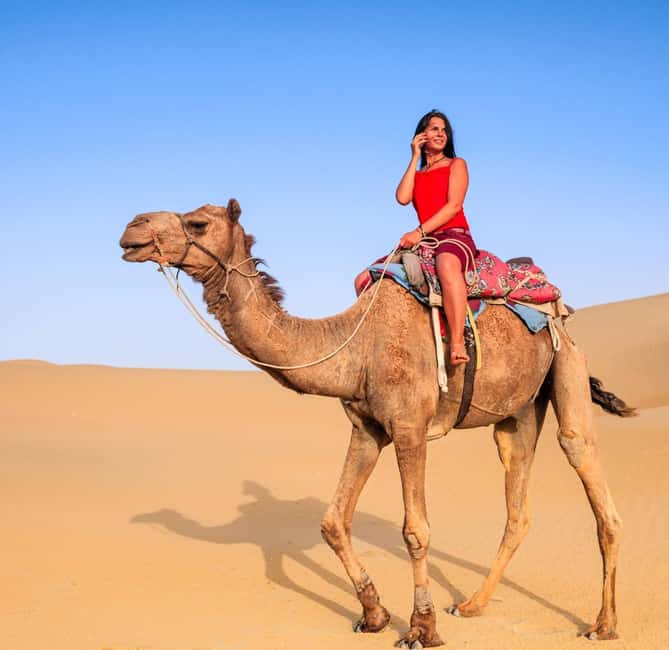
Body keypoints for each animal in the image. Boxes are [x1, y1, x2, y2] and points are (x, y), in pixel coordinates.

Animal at [120, 200, 634, 648]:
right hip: (517, 414)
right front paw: (374, 615)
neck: (355, 345)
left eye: (198, 223)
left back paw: (603, 624)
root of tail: (557, 306)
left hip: (566, 362)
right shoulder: (367, 429)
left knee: (583, 461)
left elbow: (416, 531)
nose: (132, 228)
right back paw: (471, 605)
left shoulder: (410, 426)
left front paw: (421, 629)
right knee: (517, 504)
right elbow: (332, 520)